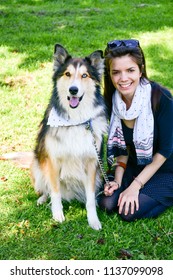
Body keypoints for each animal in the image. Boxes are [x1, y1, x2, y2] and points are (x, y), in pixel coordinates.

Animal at [30, 44, 107, 230]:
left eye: (84, 75)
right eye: (67, 74)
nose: (73, 90)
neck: (75, 120)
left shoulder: (92, 164)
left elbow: (90, 197)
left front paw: (93, 220)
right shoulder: (53, 161)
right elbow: (55, 192)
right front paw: (58, 215)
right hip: (37, 165)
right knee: (46, 188)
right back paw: (42, 199)